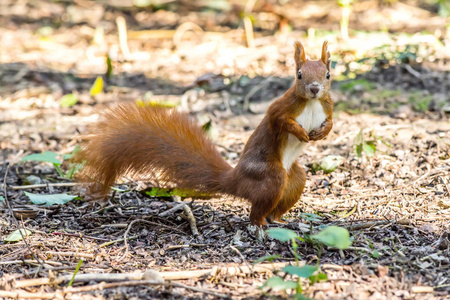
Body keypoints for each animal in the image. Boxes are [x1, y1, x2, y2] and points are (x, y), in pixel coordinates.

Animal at [75, 41, 332, 226]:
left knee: (278, 204)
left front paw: (322, 133)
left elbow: (330, 122)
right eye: (299, 74)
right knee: (258, 210)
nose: (314, 88)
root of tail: (235, 180)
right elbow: (279, 120)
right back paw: (259, 224)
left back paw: (279, 221)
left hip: (295, 180)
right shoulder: (280, 108)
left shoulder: (327, 107)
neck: (311, 103)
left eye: (328, 74)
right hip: (270, 177)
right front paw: (301, 132)